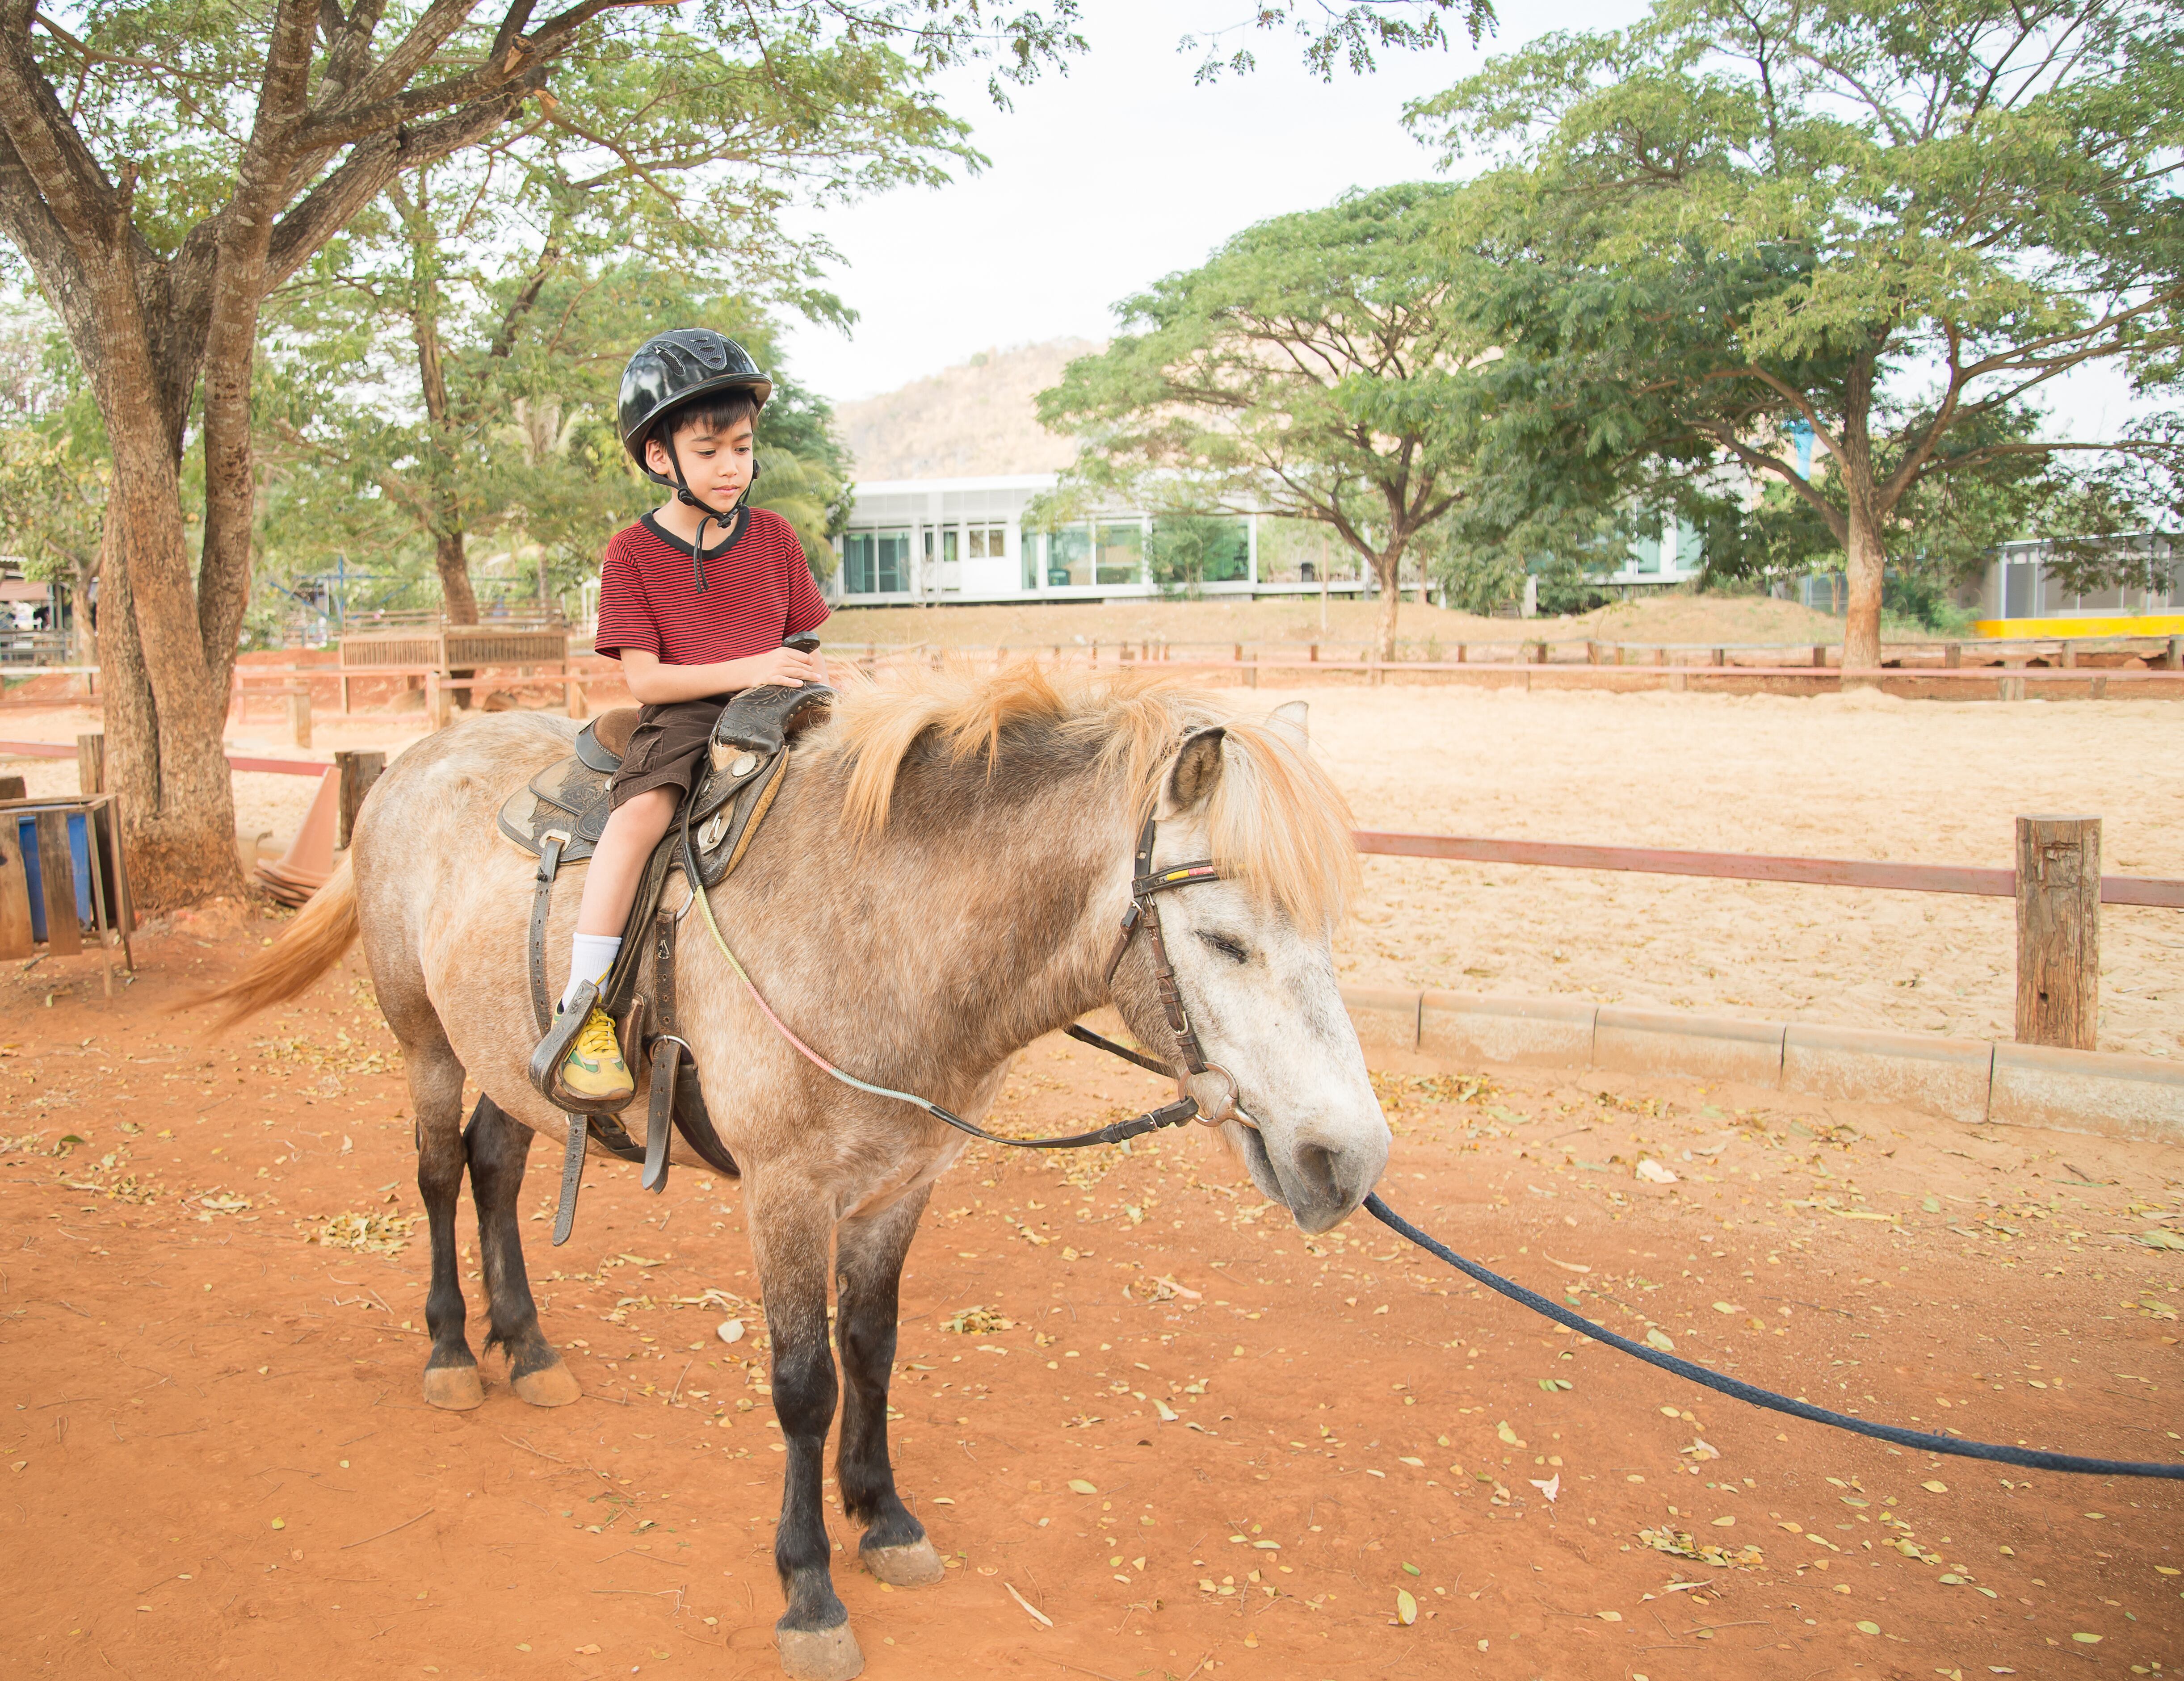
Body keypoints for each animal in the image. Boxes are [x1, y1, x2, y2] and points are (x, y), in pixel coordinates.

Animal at [203, 663, 1389, 1679]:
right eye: (1225, 940)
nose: (1349, 1159)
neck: (885, 929)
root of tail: (417, 756)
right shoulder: (787, 1194)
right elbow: (804, 1383)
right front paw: (809, 1588)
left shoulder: (900, 1183)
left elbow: (871, 1349)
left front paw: (885, 1515)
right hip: (426, 1042)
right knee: (441, 1178)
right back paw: (453, 1346)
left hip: (507, 1052)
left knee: (495, 1171)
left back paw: (526, 1344)